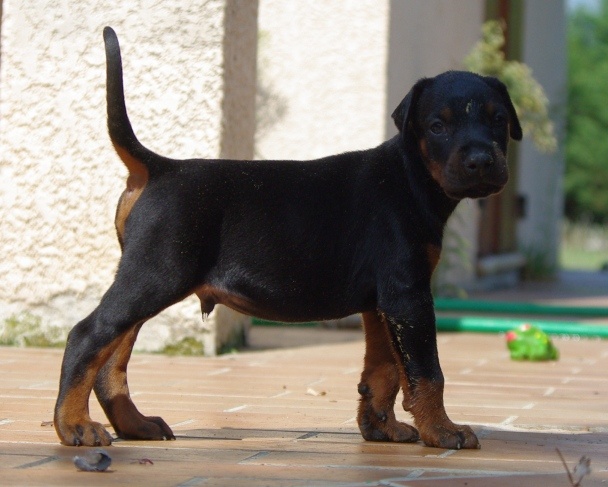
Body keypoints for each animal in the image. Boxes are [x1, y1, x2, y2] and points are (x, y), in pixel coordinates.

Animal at [54, 27, 522, 450]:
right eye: (438, 126)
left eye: (498, 119)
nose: (482, 161)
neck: (412, 174)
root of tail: (159, 167)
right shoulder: (408, 295)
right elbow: (427, 371)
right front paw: (442, 431)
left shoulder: (382, 303)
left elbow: (384, 369)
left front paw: (381, 428)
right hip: (157, 272)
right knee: (88, 335)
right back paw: (74, 425)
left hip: (146, 273)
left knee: (112, 356)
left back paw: (133, 424)